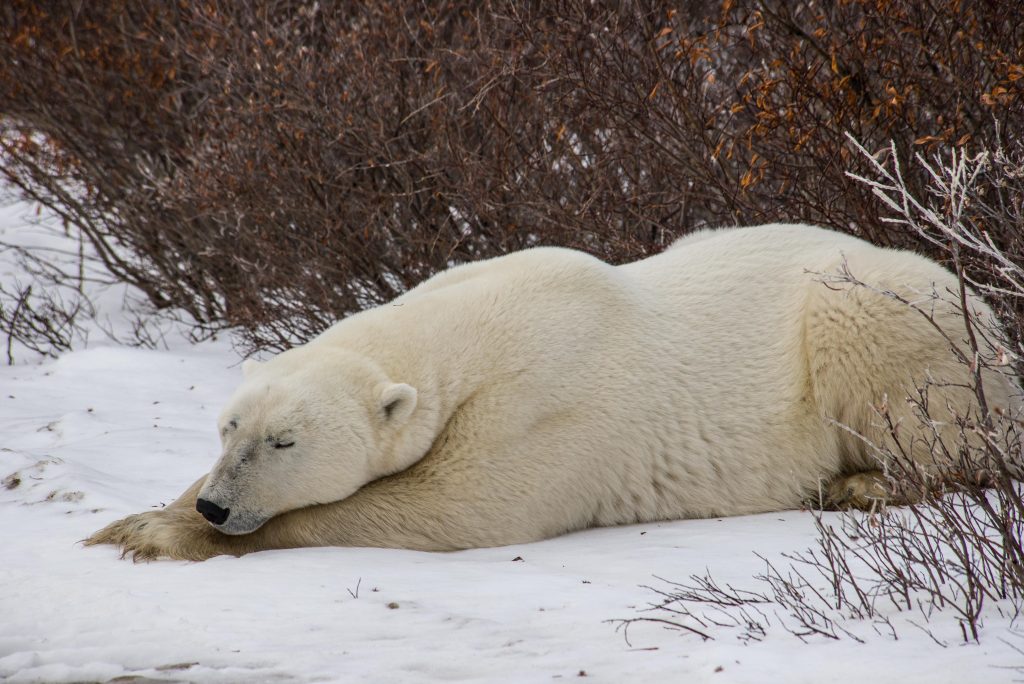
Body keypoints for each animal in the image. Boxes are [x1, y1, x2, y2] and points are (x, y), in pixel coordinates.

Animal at [83, 224, 1019, 561]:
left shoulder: (547, 403)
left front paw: (165, 537)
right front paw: (137, 517)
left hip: (880, 318)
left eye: (284, 443)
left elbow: (455, 507)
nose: (217, 504)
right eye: (226, 426)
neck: (479, 321)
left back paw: (860, 484)